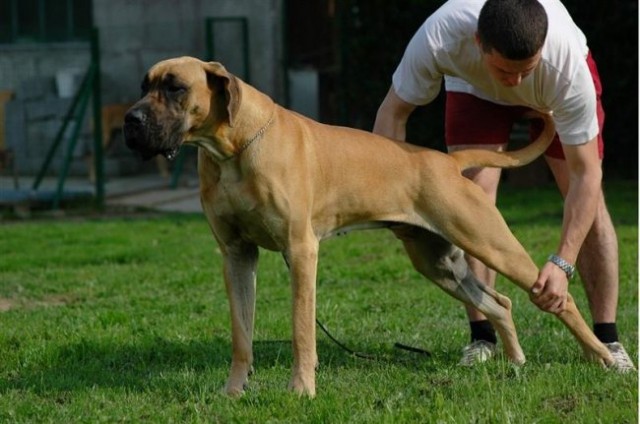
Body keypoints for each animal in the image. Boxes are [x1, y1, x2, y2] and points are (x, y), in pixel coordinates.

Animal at [124, 56, 616, 398]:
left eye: (175, 87)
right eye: (143, 86)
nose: (131, 119)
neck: (232, 148)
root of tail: (447, 161)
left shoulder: (300, 251)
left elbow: (302, 329)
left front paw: (301, 390)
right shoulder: (237, 256)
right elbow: (241, 334)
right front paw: (234, 391)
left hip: (490, 243)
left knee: (559, 299)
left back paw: (604, 358)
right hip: (440, 263)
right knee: (500, 303)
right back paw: (515, 362)